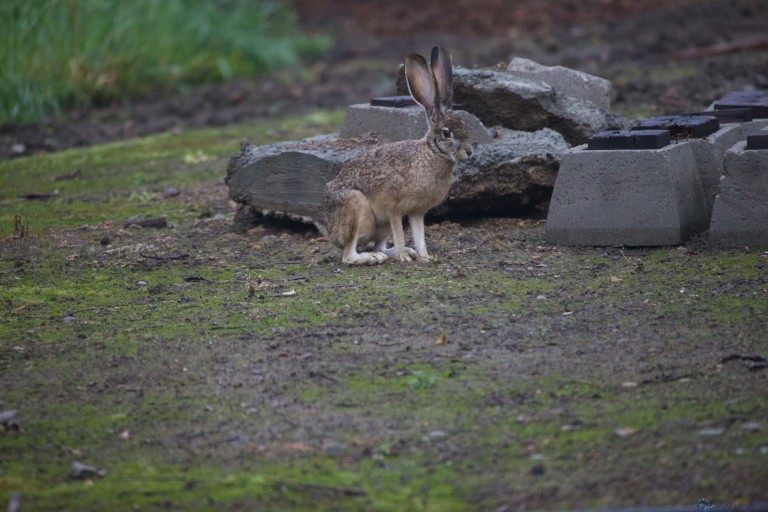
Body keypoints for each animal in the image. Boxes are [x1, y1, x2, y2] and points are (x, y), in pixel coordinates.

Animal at [321, 46, 474, 265]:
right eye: (447, 133)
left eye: (465, 127)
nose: (469, 152)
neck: (431, 154)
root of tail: (331, 231)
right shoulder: (393, 207)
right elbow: (400, 232)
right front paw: (403, 257)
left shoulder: (417, 211)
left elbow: (419, 234)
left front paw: (425, 257)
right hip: (359, 212)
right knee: (349, 254)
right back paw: (374, 258)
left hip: (380, 225)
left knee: (379, 245)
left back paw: (398, 253)